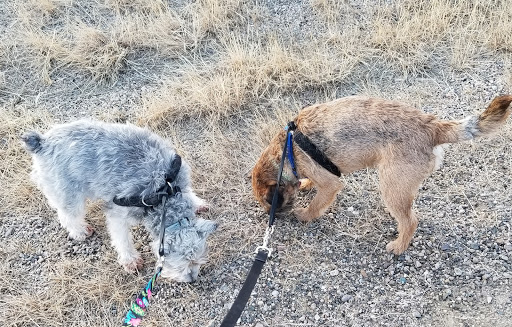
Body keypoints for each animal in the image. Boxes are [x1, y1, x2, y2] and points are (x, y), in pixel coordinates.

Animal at [252, 96, 512, 255]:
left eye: (270, 205)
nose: (273, 219)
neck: (286, 150)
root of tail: (432, 127)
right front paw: (305, 184)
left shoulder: (330, 184)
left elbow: (317, 204)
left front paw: (305, 215)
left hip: (391, 187)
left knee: (410, 220)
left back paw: (399, 246)